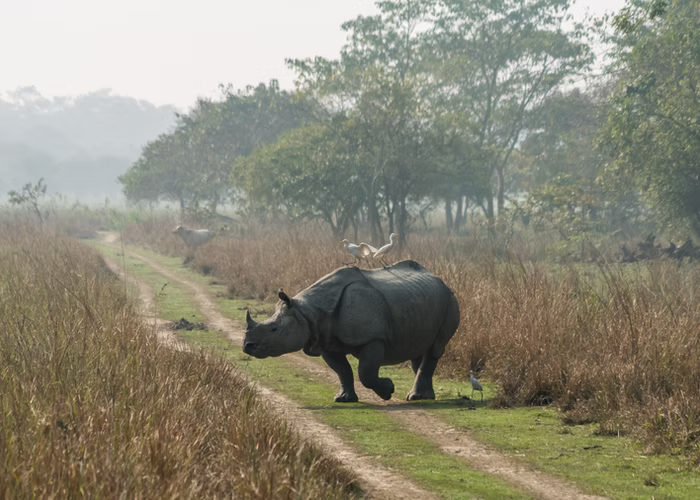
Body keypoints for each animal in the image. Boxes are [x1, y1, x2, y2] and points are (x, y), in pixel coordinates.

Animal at [242, 260, 460, 402]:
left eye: (274, 329)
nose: (247, 346)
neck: (308, 312)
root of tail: (441, 280)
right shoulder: (326, 341)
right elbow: (342, 371)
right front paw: (344, 399)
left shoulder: (373, 339)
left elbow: (366, 373)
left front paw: (387, 390)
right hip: (421, 301)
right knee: (419, 350)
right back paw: (424, 395)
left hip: (450, 300)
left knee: (435, 348)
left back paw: (416, 397)